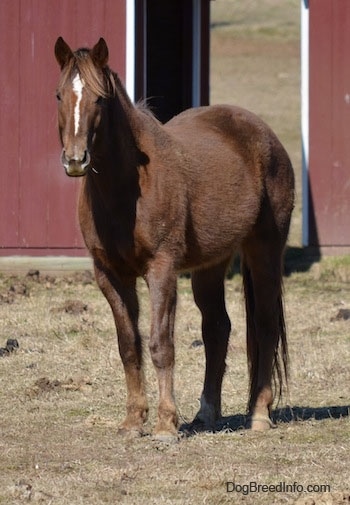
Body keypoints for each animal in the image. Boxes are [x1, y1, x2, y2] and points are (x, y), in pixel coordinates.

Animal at [55, 37, 296, 440]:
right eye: (60, 95)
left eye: (100, 98)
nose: (75, 160)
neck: (127, 188)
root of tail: (263, 133)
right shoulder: (109, 274)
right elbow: (129, 345)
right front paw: (132, 421)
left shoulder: (162, 269)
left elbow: (160, 344)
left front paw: (166, 423)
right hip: (211, 264)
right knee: (217, 329)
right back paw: (206, 413)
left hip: (265, 249)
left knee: (264, 327)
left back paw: (259, 415)